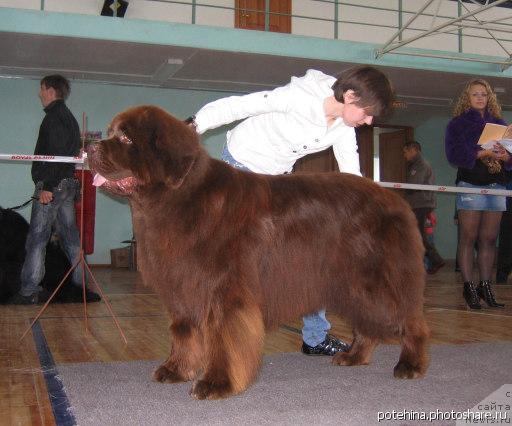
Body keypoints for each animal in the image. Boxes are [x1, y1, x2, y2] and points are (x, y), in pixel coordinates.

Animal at [87, 104, 428, 400]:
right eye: (111, 132)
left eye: (126, 138)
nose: (89, 148)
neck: (178, 198)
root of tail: (393, 198)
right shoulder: (181, 286)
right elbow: (183, 330)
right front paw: (176, 370)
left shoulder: (223, 289)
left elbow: (222, 336)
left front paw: (216, 383)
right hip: (351, 284)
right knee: (367, 320)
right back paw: (354, 356)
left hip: (379, 278)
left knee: (409, 318)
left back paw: (410, 365)